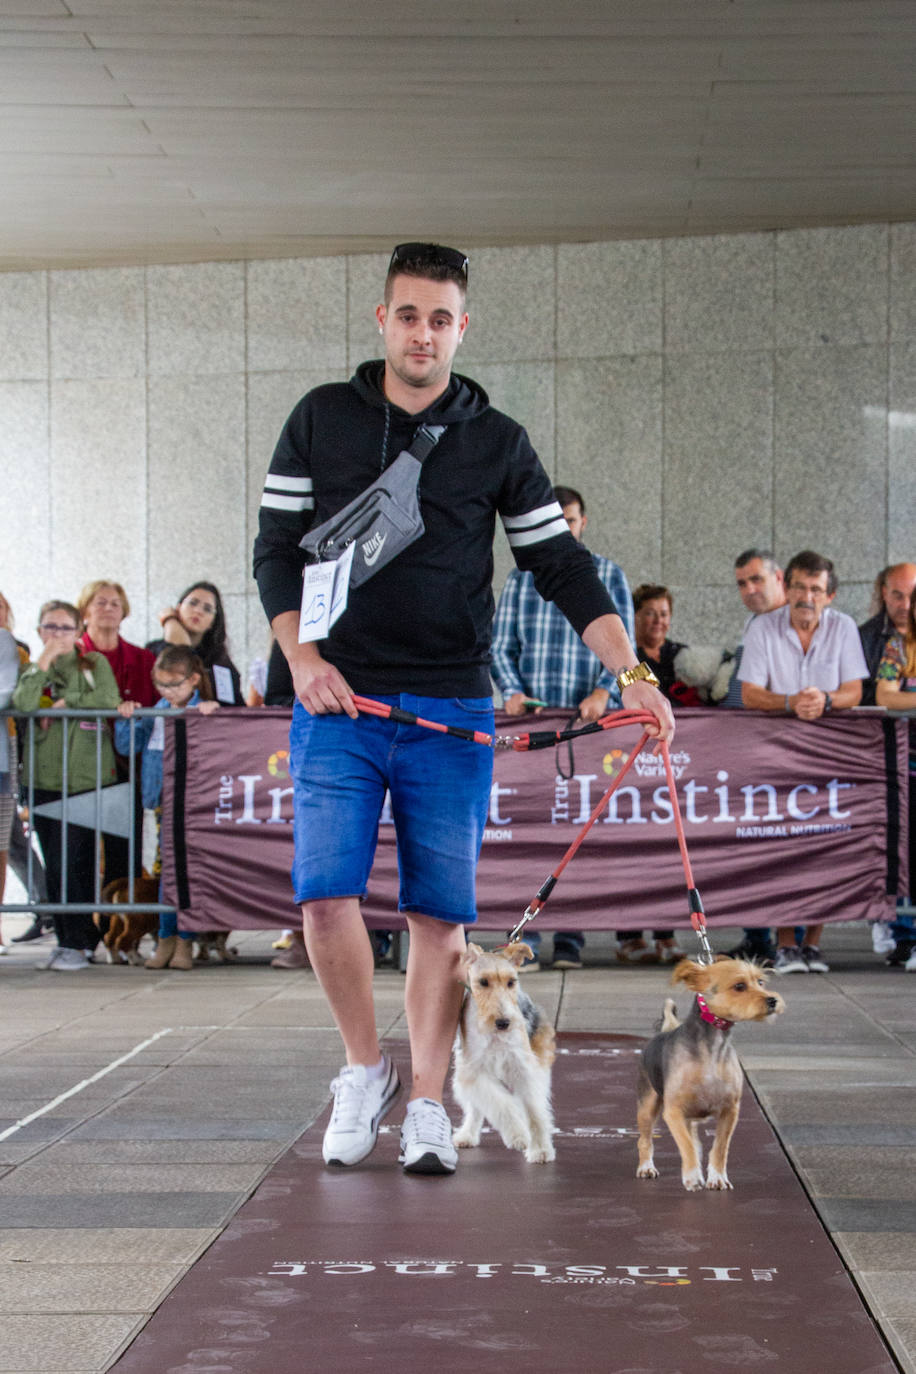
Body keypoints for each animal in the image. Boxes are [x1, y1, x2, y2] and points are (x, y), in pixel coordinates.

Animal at [634, 956, 785, 1192]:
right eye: (739, 986)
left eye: (760, 982)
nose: (772, 1000)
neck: (711, 1049)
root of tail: (663, 1032)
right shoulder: (673, 1111)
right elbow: (685, 1145)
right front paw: (692, 1176)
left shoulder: (729, 1110)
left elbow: (720, 1148)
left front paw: (717, 1177)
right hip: (648, 1106)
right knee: (645, 1140)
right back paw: (646, 1167)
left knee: (695, 1142)